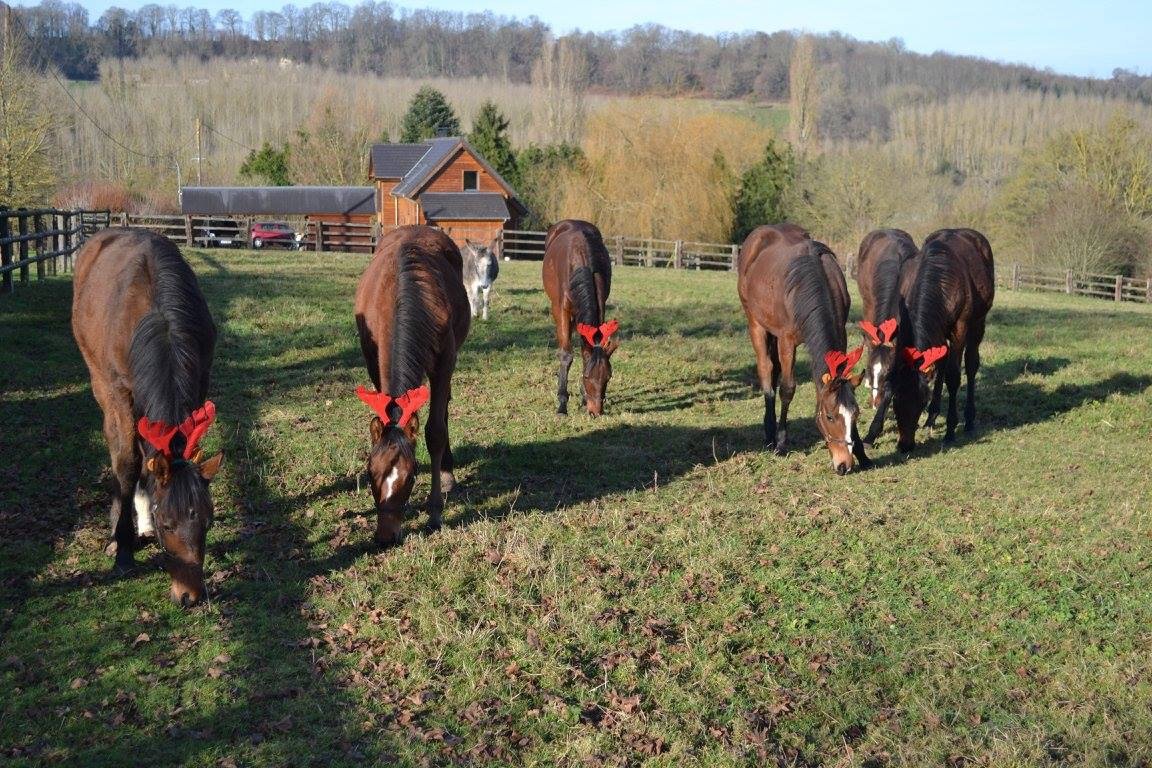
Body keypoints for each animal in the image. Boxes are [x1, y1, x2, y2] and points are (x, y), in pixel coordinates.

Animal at [71, 229, 222, 607]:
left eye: (208, 521)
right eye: (167, 521)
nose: (189, 596)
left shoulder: (199, 384)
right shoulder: (120, 393)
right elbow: (126, 463)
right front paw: (123, 548)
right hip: (100, 383)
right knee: (118, 445)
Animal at [353, 225, 470, 545]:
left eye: (411, 475)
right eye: (370, 473)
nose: (386, 536)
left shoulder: (444, 363)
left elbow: (435, 432)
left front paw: (435, 512)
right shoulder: (372, 359)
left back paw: (447, 472)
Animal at [542, 219, 620, 416]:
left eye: (608, 376)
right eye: (586, 376)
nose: (595, 411)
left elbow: (585, 350)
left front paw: (584, 398)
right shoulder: (561, 309)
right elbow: (566, 354)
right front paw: (562, 404)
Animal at [737, 224, 871, 475]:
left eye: (856, 414)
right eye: (829, 417)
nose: (844, 465)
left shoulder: (841, 333)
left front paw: (861, 452)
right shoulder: (787, 340)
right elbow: (787, 389)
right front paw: (780, 444)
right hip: (756, 325)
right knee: (766, 371)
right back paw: (769, 435)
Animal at [892, 228, 995, 451]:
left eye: (921, 401)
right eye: (895, 400)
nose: (905, 445)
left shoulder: (960, 327)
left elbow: (954, 376)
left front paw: (950, 429)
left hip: (978, 322)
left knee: (971, 364)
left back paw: (969, 419)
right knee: (941, 361)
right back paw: (932, 416)